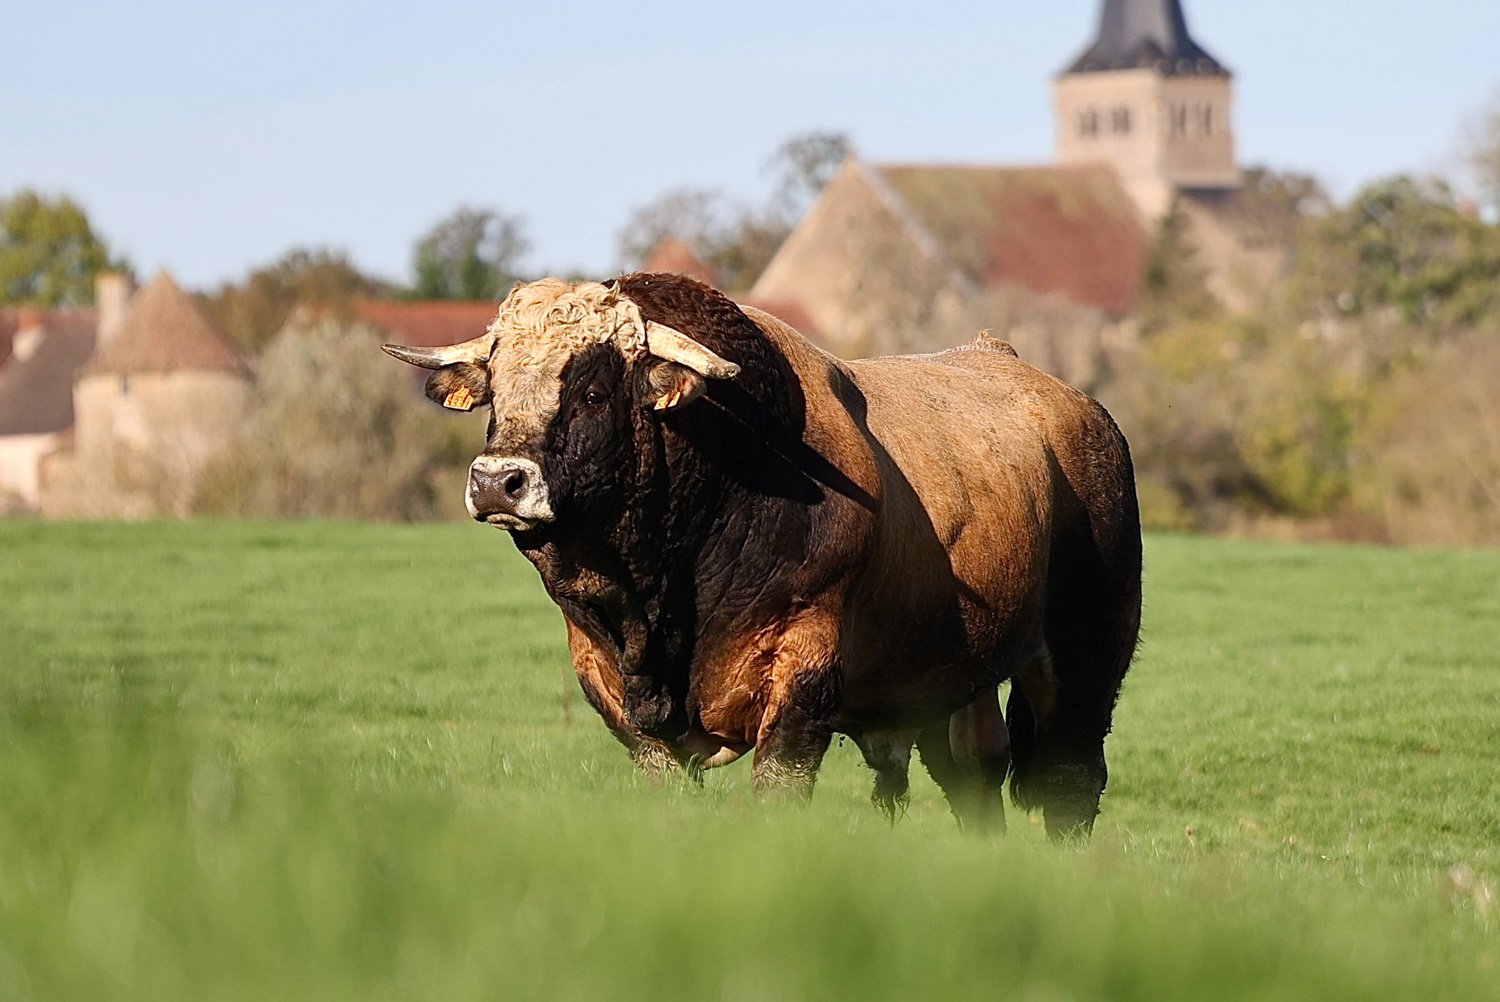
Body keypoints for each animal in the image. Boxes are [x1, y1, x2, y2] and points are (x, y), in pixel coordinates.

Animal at [382, 273, 1141, 838]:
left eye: (594, 392)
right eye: (495, 390)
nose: (496, 481)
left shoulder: (802, 673)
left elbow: (778, 790)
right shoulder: (612, 688)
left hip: (1088, 653)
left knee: (1069, 782)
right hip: (951, 680)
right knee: (974, 777)